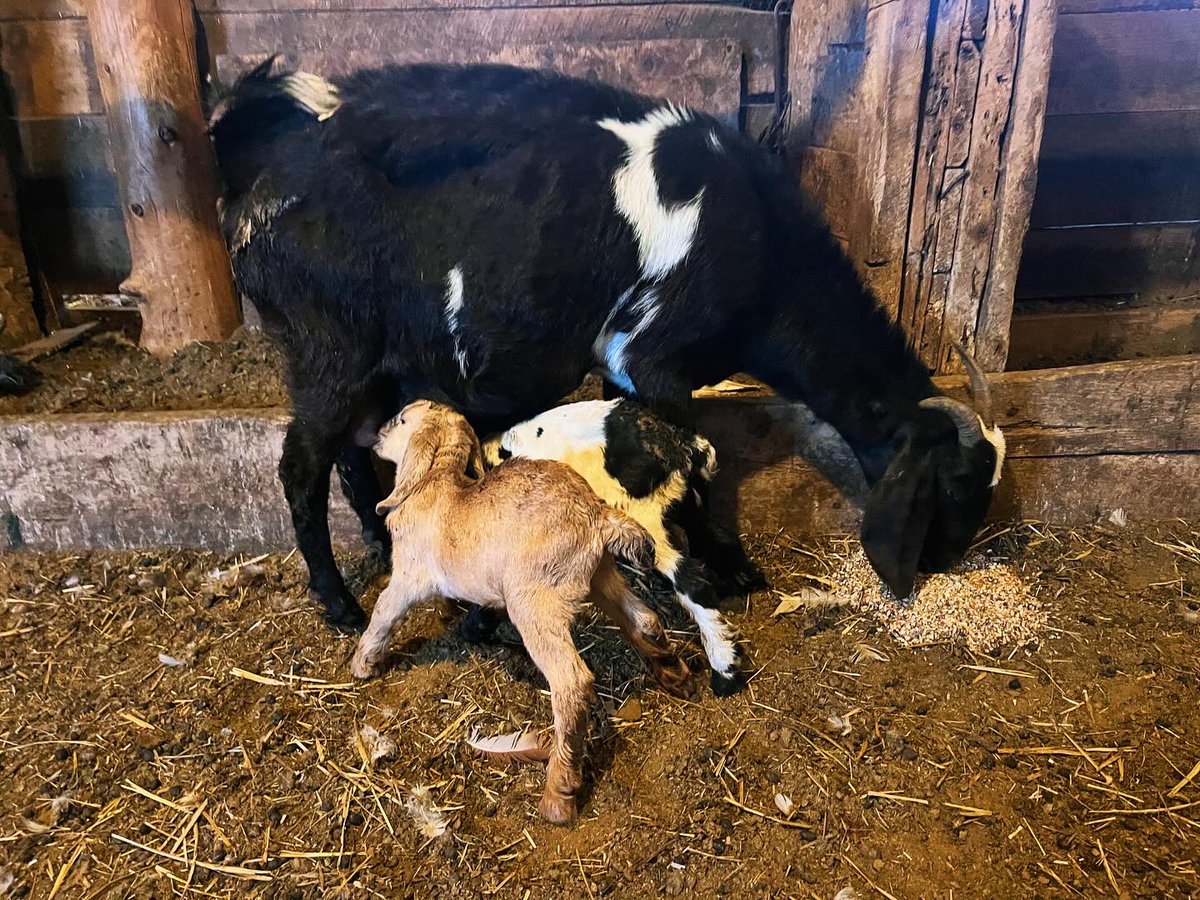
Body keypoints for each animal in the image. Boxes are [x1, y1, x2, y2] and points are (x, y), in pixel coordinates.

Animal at [207, 59, 1005, 631]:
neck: (764, 253)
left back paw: (379, 544)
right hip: (327, 345)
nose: (949, 559)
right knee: (301, 466)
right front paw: (726, 569)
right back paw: (338, 605)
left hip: (366, 361)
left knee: (350, 451)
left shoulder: (627, 369)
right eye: (955, 482)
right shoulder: (649, 354)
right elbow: (692, 459)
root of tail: (264, 165)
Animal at [350, 400, 695, 823]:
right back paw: (678, 678)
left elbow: (382, 614)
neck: (435, 483)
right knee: (644, 620)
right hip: (600, 574)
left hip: (533, 600)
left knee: (572, 683)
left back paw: (558, 793)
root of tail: (596, 516)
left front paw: (362, 664)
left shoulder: (408, 577)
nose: (378, 435)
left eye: (401, 419)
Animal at [479, 398, 764, 695]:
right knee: (720, 539)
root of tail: (676, 441)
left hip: (646, 517)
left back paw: (724, 671)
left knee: (693, 582)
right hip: (687, 502)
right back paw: (744, 583)